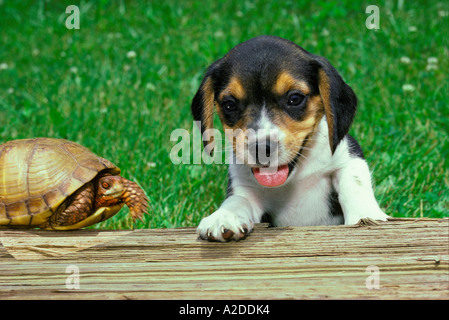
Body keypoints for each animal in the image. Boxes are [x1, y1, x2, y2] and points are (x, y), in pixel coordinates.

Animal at [191, 35, 386, 240]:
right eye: (229, 105)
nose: (262, 149)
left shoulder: (348, 154)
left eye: (295, 98)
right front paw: (224, 216)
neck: (295, 179)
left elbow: (354, 182)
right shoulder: (245, 185)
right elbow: (238, 200)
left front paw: (365, 215)